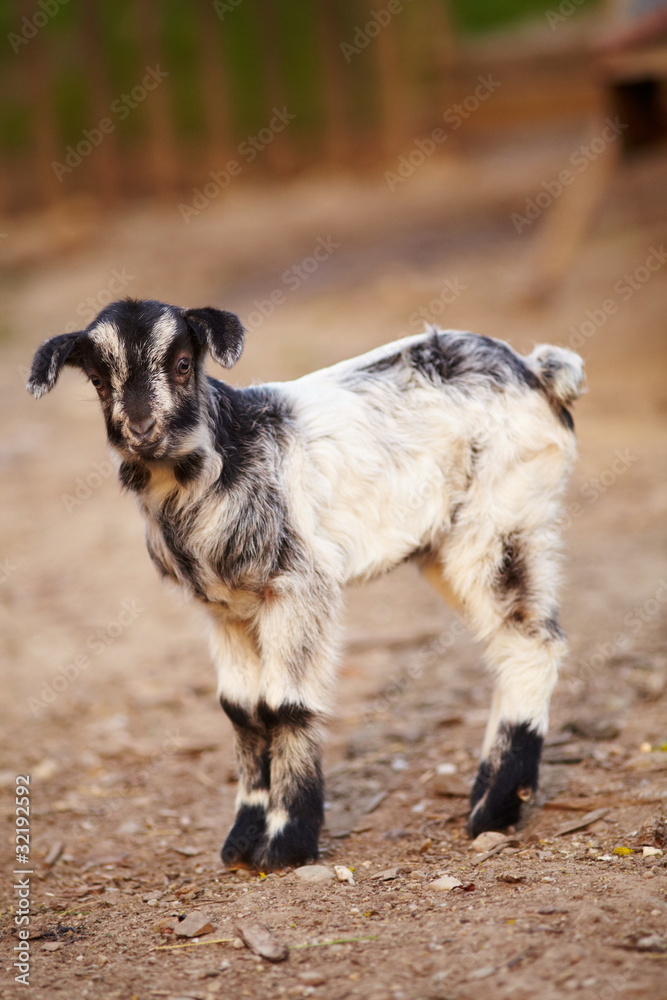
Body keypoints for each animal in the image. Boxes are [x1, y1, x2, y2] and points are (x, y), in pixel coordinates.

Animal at [28, 298, 584, 871]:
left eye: (183, 364)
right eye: (98, 380)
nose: (141, 428)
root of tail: (536, 371)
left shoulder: (297, 584)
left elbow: (283, 706)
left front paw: (285, 843)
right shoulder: (226, 608)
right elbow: (241, 711)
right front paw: (241, 840)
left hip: (503, 516)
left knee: (530, 643)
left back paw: (495, 809)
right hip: (447, 542)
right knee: (506, 641)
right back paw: (488, 795)